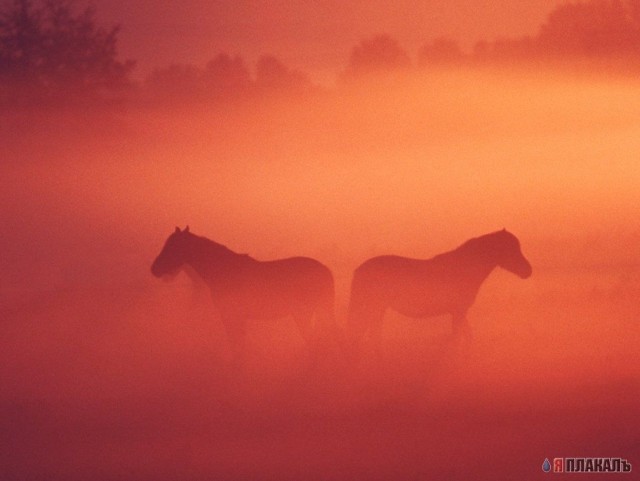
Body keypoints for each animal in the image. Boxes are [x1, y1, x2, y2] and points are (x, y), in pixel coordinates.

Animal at [152, 227, 338, 362]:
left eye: (173, 246)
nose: (155, 269)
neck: (222, 270)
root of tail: (325, 270)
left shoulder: (232, 316)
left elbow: (237, 347)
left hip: (304, 314)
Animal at [348, 227, 532, 350]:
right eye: (511, 249)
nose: (528, 271)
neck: (466, 267)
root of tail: (361, 268)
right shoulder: (458, 312)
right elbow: (458, 340)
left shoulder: (460, 311)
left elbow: (467, 337)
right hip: (375, 308)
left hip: (378, 309)